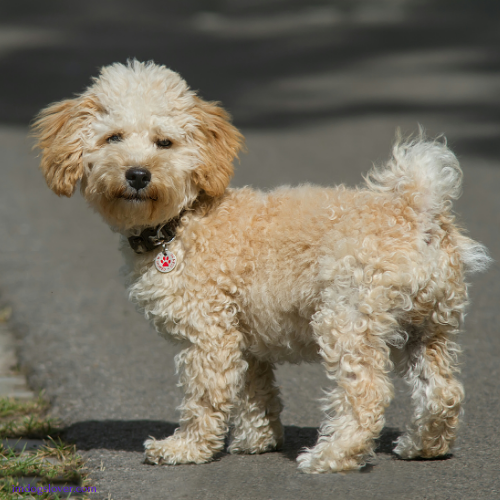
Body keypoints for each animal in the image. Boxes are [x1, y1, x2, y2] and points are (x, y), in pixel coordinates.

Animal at [34, 60, 488, 470]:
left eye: (165, 143)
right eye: (113, 137)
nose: (138, 174)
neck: (182, 221)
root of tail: (417, 209)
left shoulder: (209, 334)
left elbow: (207, 396)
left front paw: (186, 448)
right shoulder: (244, 336)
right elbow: (255, 392)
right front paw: (257, 441)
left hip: (348, 318)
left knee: (367, 393)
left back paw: (333, 456)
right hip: (430, 327)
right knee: (444, 392)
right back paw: (423, 446)